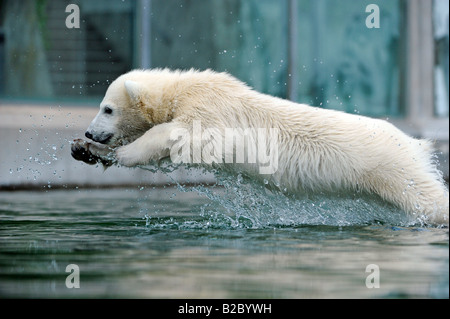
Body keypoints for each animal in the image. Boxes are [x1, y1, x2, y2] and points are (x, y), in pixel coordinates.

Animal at [70, 69, 446, 226]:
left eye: (107, 109)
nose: (90, 132)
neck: (184, 88)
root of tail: (415, 144)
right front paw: (84, 151)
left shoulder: (211, 111)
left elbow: (180, 136)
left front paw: (120, 153)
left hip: (391, 168)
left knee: (428, 199)